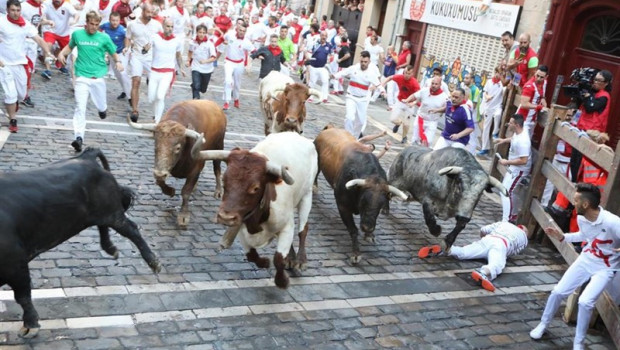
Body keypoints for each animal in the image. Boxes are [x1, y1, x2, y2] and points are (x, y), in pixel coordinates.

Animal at [0, 149, 160, 338]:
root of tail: (87, 155)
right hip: (100, 214)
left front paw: (30, 326)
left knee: (132, 229)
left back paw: (154, 262)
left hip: (113, 212)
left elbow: (23, 296)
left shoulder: (16, 263)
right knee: (102, 225)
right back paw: (111, 249)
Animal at [127, 100, 226, 228]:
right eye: (156, 145)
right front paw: (170, 191)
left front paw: (183, 216)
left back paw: (218, 191)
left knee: (217, 169)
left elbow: (186, 192)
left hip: (219, 146)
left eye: (178, 148)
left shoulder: (195, 169)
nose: (159, 173)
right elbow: (160, 181)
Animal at [191, 133, 318, 288]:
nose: (225, 217)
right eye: (224, 180)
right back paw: (290, 258)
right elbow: (251, 255)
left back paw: (300, 260)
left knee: (303, 229)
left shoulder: (286, 226)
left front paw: (282, 281)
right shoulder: (239, 225)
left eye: (255, 188)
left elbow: (278, 258)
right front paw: (264, 262)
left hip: (307, 195)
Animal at [312, 126, 410, 262]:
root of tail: (330, 128)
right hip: (317, 161)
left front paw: (369, 235)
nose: (367, 227)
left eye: (382, 205)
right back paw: (314, 186)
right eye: (363, 201)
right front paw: (356, 253)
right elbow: (353, 229)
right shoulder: (343, 206)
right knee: (316, 173)